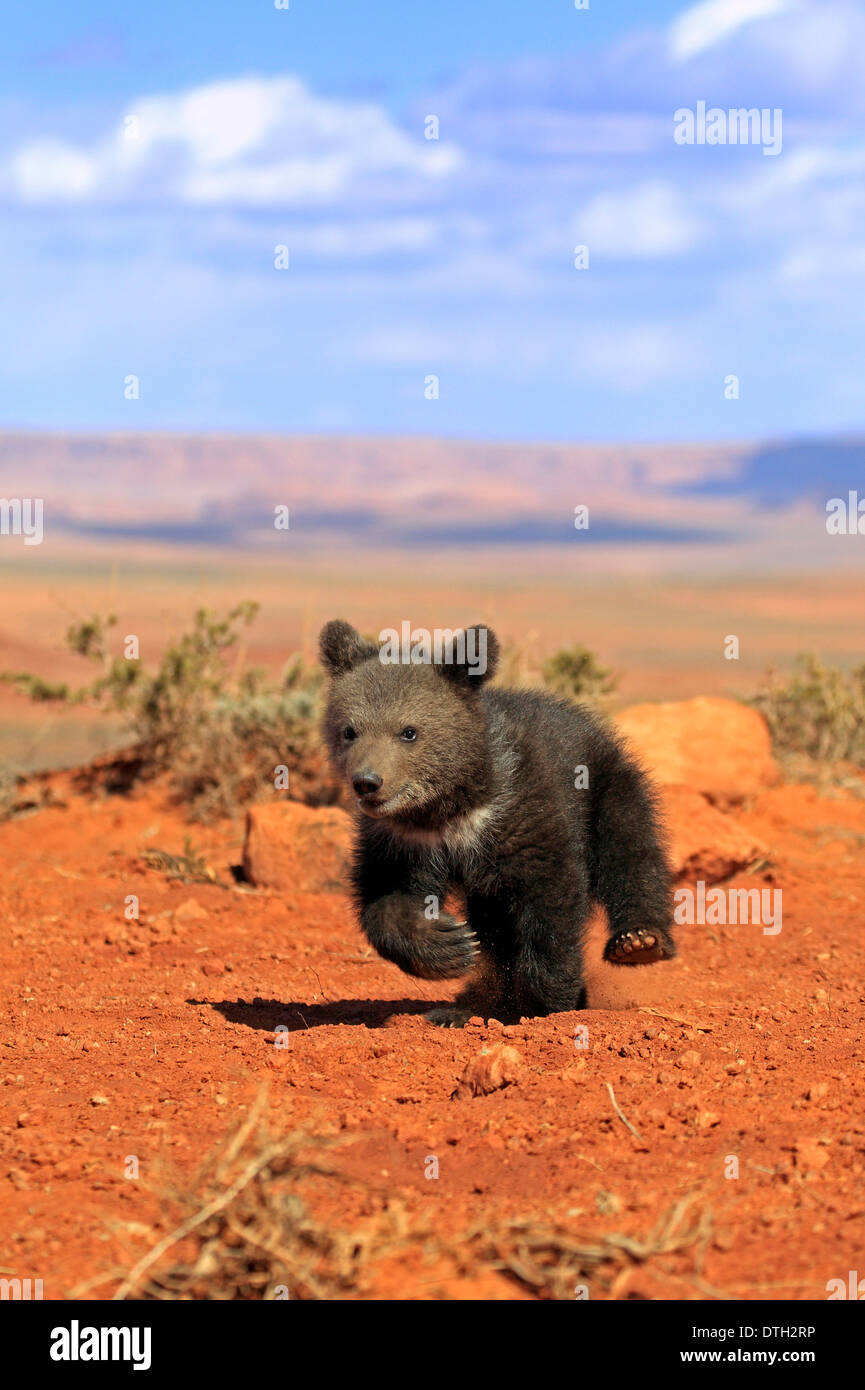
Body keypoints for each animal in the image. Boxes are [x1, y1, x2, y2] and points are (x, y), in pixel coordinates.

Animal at [319, 619, 675, 1026]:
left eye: (409, 731)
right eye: (349, 730)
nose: (367, 781)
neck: (448, 807)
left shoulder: (519, 810)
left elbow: (550, 894)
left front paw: (548, 999)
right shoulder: (400, 840)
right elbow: (385, 895)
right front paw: (449, 943)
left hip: (606, 784)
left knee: (630, 850)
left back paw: (639, 939)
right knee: (494, 925)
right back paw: (466, 1007)